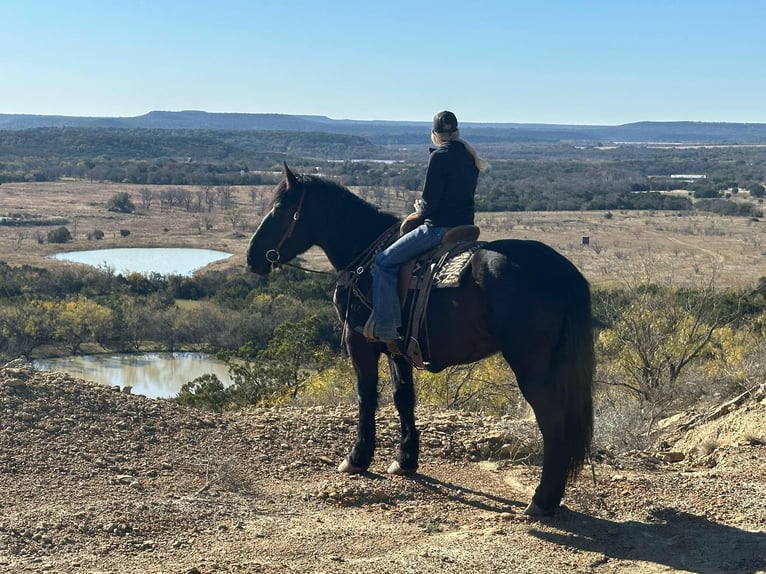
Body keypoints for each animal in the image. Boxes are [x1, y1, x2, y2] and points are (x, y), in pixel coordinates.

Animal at [246, 165, 594, 516]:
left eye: (280, 210)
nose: (252, 257)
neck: (365, 256)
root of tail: (561, 270)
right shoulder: (397, 350)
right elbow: (403, 398)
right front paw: (405, 460)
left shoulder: (359, 344)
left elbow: (366, 397)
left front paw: (357, 458)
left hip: (531, 367)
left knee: (553, 422)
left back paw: (542, 500)